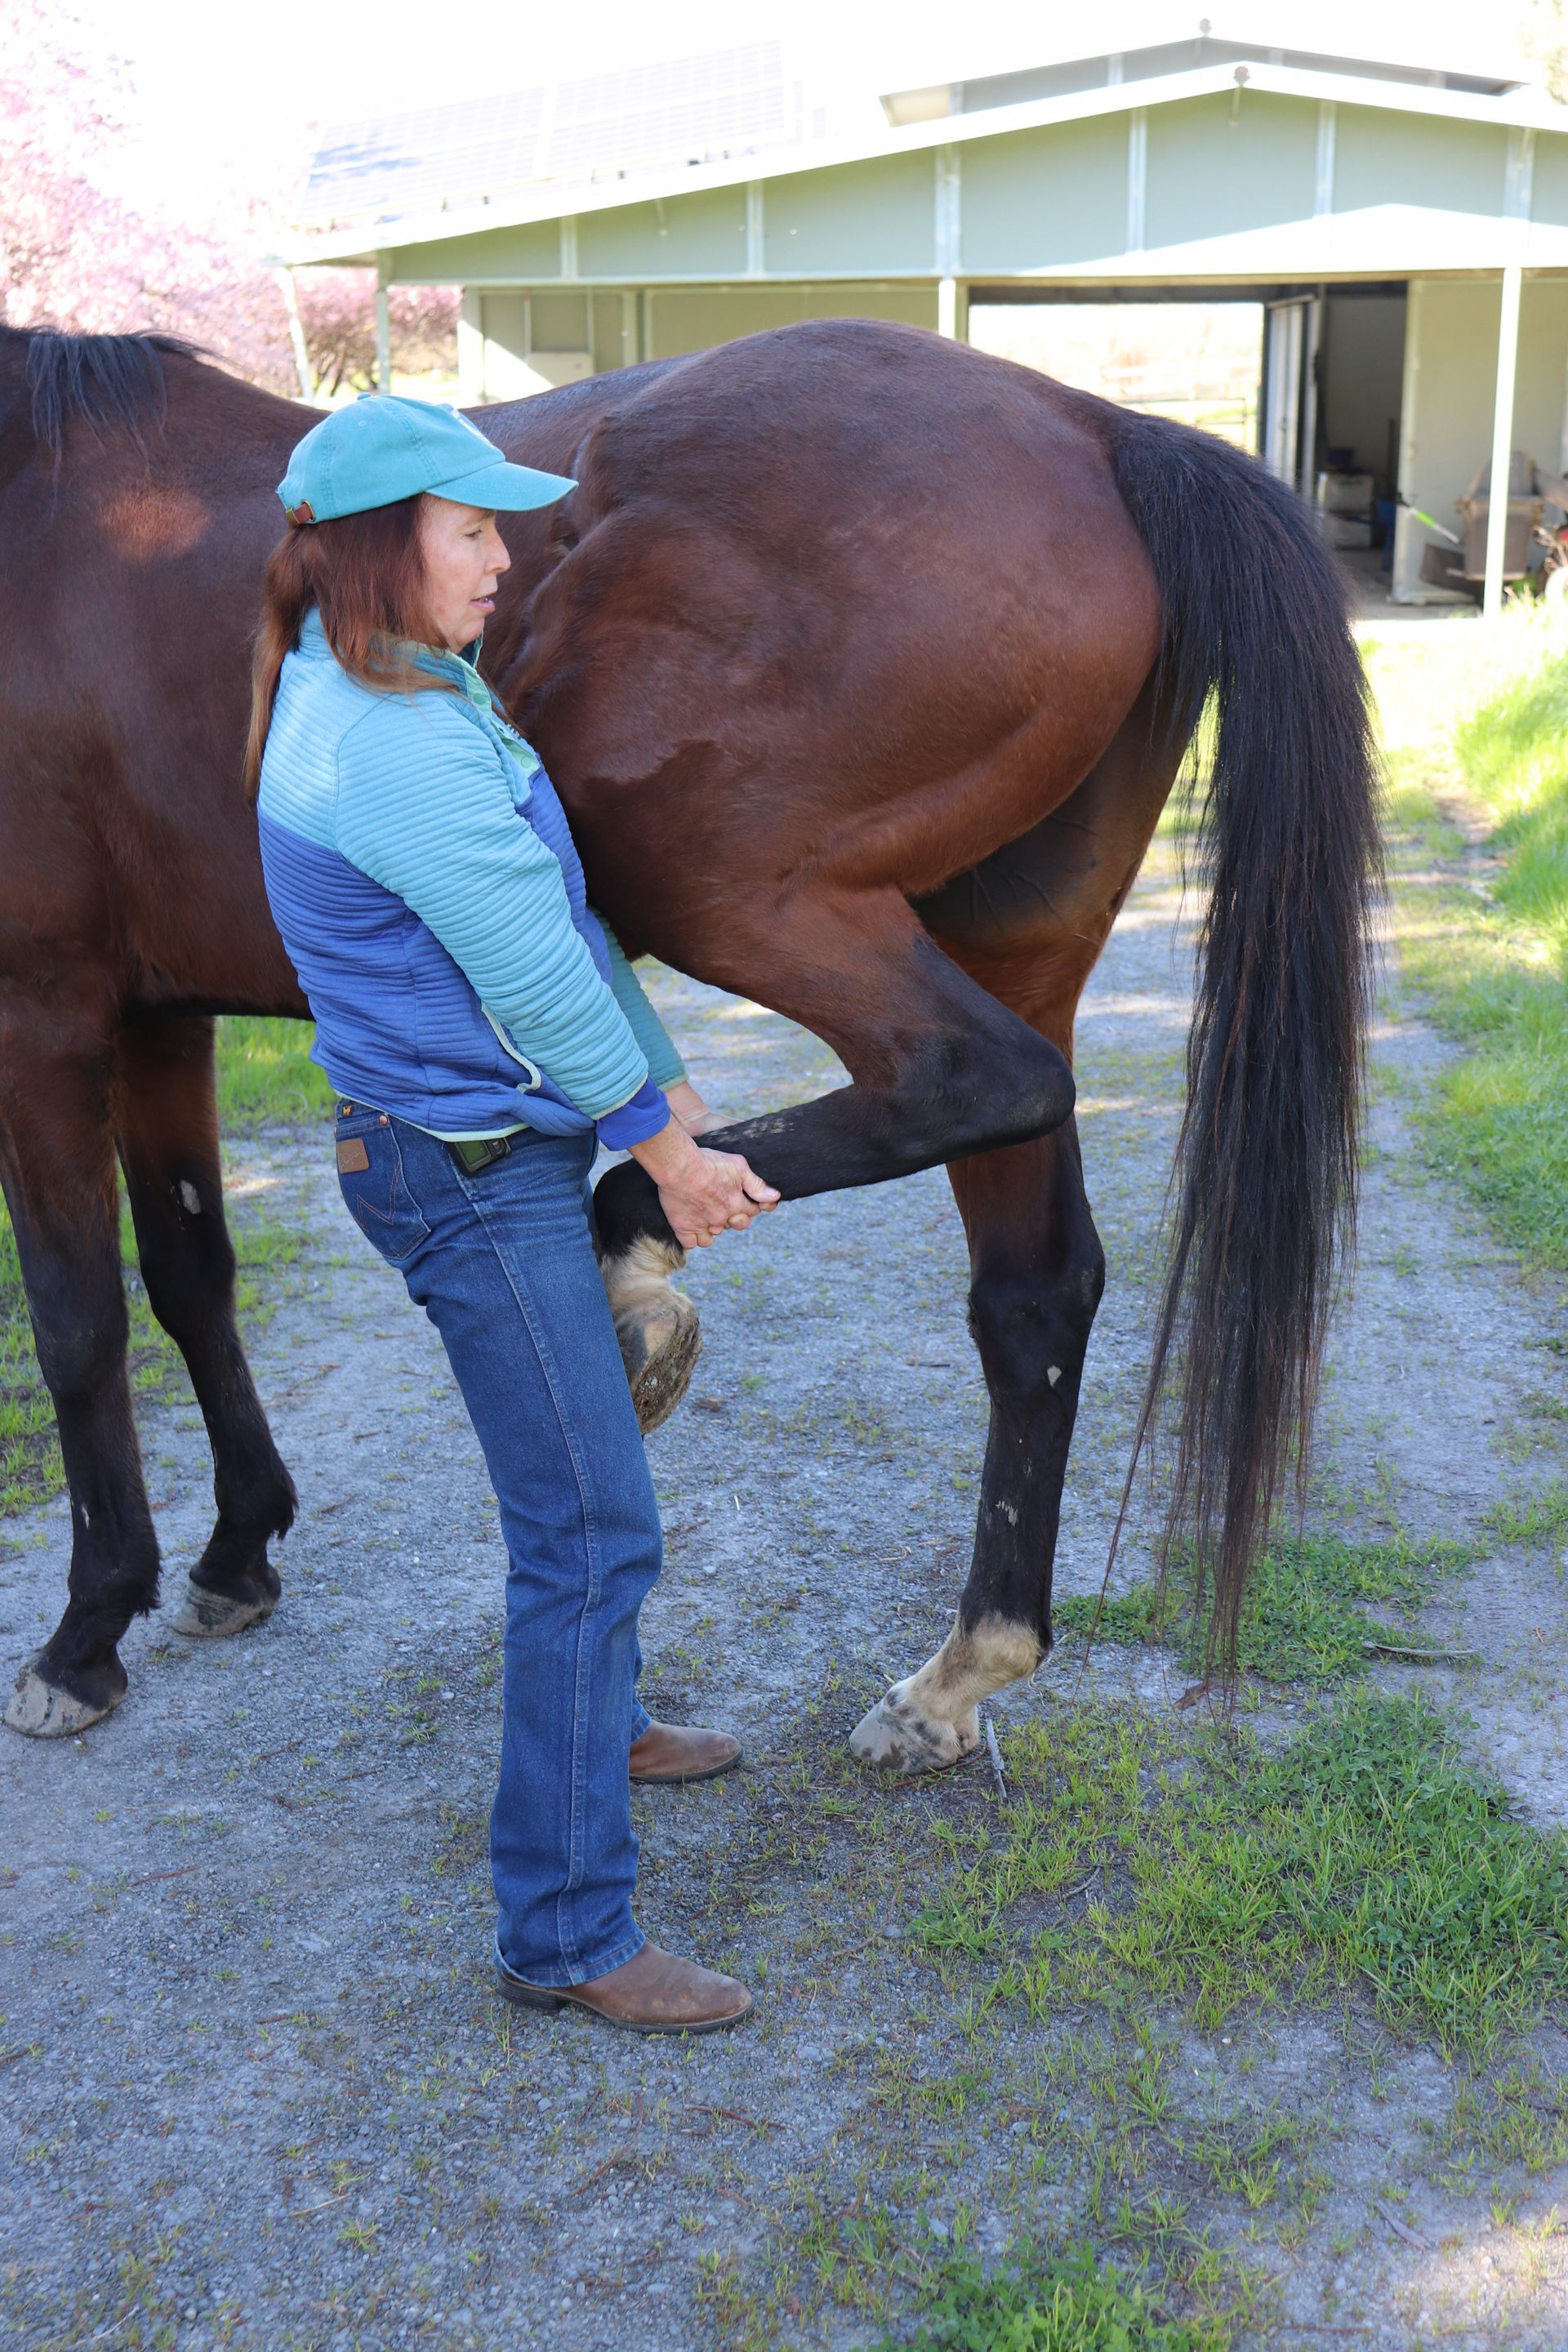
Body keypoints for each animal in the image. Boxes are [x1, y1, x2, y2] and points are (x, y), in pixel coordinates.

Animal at [0, 320, 1376, 1766]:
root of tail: (1095, 426)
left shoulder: (41, 1017)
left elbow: (78, 1322)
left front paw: (85, 1634)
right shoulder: (158, 1023)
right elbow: (190, 1279)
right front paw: (233, 1553)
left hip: (701, 874)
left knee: (971, 1077)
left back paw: (632, 1250)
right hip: (1012, 944)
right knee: (1034, 1288)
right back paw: (962, 1670)